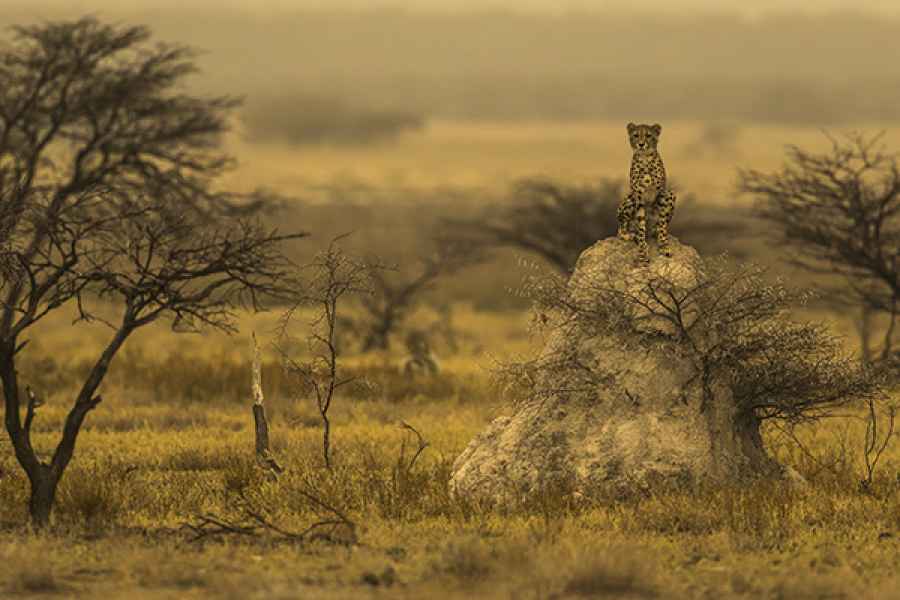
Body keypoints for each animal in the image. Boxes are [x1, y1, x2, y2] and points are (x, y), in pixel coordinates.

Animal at [616, 122, 680, 264]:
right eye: (636, 135)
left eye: (648, 135)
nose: (641, 144)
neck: (645, 159)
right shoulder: (638, 197)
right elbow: (641, 228)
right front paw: (642, 252)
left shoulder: (662, 194)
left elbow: (662, 223)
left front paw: (663, 245)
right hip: (630, 199)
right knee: (621, 228)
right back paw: (628, 235)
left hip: (670, 194)